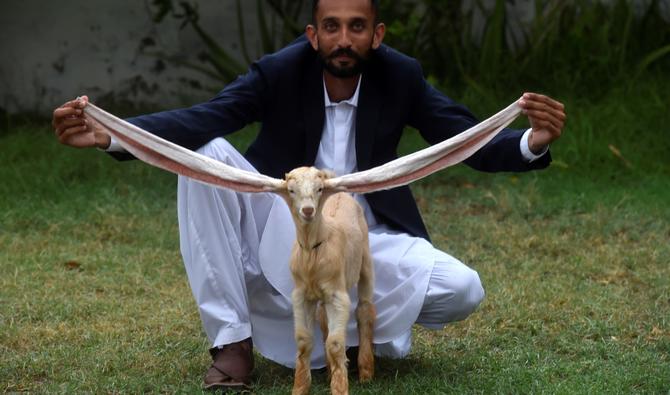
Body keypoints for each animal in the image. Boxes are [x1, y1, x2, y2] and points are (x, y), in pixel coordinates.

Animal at [282, 167, 378, 395]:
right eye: (291, 190)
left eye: (319, 189)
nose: (308, 210)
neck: (312, 251)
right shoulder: (301, 294)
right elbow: (303, 340)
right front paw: (299, 388)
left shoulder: (337, 295)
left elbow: (335, 343)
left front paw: (340, 388)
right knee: (323, 318)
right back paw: (328, 372)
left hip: (365, 259)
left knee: (365, 309)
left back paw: (366, 372)